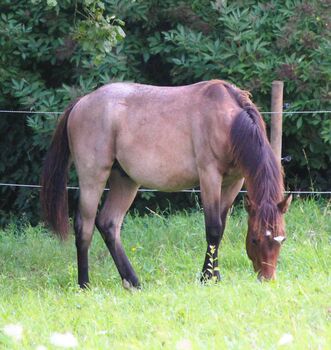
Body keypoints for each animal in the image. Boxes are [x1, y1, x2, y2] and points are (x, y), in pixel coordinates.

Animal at [41, 80, 294, 290]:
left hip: (125, 181)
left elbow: (221, 230)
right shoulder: (209, 177)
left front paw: (215, 276)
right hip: (93, 178)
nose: (267, 279)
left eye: (281, 238)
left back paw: (133, 282)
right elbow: (213, 229)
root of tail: (81, 102)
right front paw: (206, 278)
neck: (228, 121)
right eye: (255, 239)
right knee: (84, 227)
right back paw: (84, 284)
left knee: (109, 224)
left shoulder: (233, 182)